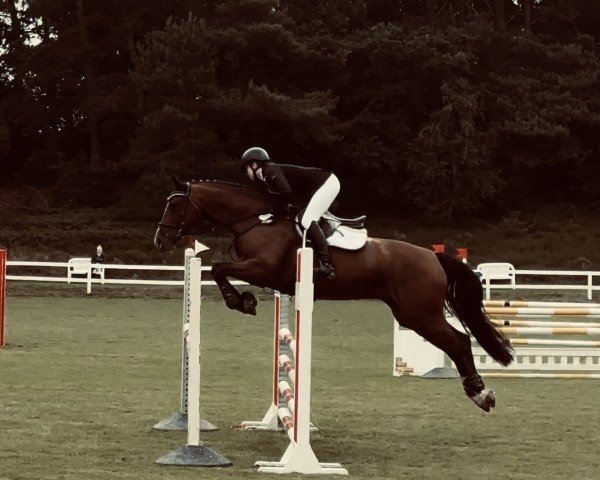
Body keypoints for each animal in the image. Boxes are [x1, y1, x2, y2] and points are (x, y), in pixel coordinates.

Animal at [154, 178, 510, 410]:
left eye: (175, 204)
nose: (160, 240)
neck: (254, 221)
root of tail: (433, 257)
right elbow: (219, 269)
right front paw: (245, 301)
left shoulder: (262, 268)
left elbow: (217, 268)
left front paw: (241, 302)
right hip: (409, 313)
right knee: (457, 341)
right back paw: (479, 393)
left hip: (420, 314)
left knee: (459, 341)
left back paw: (481, 395)